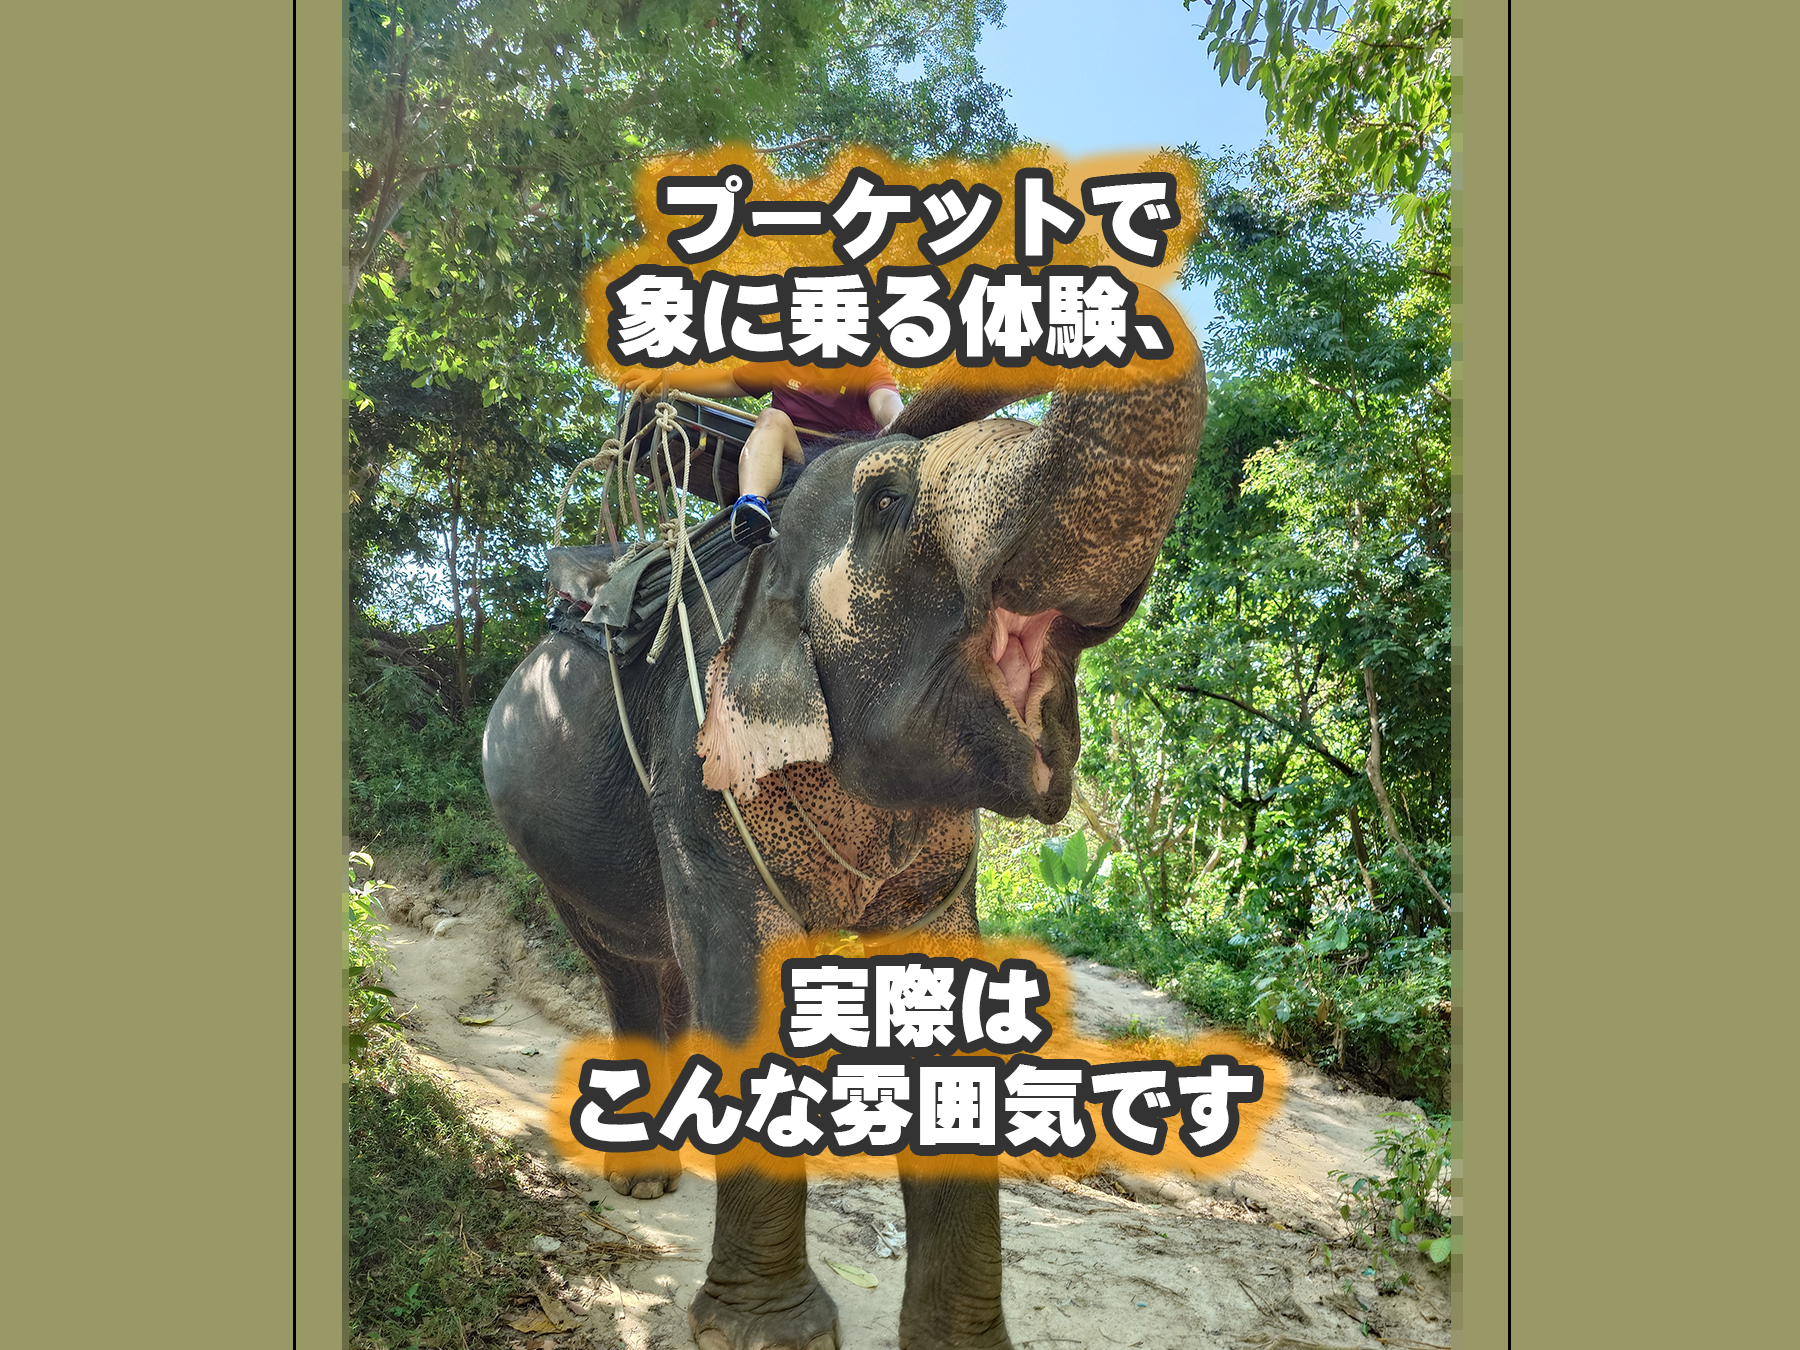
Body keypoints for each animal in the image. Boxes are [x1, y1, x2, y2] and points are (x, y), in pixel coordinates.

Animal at [482, 350, 1206, 1350]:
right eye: (890, 502)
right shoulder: (699, 758)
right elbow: (745, 980)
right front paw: (769, 1334)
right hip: (546, 846)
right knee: (627, 961)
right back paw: (644, 1178)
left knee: (669, 966)